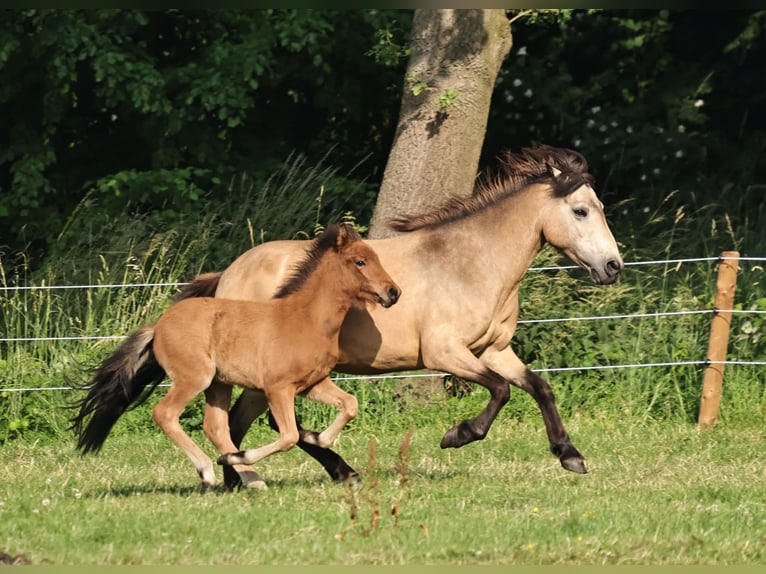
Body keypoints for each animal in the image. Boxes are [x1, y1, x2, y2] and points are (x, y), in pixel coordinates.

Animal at [70, 224, 401, 491]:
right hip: (195, 378)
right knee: (165, 414)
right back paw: (209, 472)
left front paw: (317, 438)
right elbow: (288, 436)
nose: (393, 292)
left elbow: (349, 405)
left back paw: (243, 473)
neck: (304, 318)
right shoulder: (277, 388)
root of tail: (158, 326)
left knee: (215, 426)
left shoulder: (312, 384)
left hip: (219, 384)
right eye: (360, 261)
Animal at [176, 145, 624, 489]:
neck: (470, 263)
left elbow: (539, 388)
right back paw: (314, 471)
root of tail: (229, 274)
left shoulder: (494, 350)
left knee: (239, 424)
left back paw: (244, 478)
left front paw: (570, 456)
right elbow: (501, 392)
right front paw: (456, 435)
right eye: (581, 211)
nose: (613, 266)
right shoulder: (445, 353)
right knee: (258, 423)